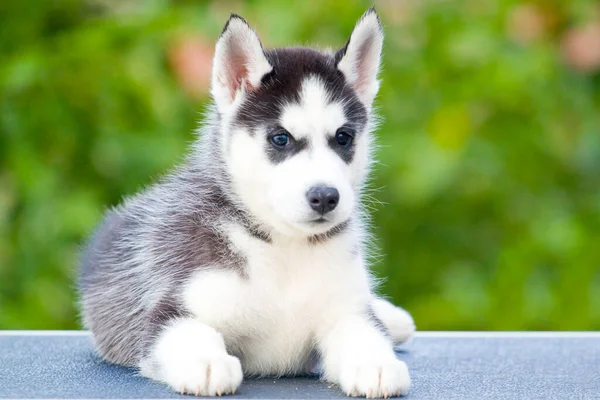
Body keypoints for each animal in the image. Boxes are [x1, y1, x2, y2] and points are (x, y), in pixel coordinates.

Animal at [79, 7, 414, 398]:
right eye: (280, 139)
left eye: (343, 138)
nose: (325, 197)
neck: (285, 247)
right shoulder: (174, 308)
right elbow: (189, 332)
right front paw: (206, 362)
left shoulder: (346, 310)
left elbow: (364, 333)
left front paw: (374, 363)